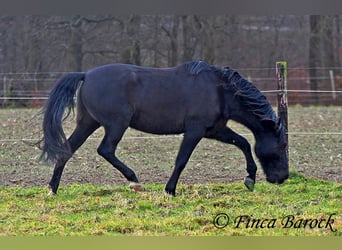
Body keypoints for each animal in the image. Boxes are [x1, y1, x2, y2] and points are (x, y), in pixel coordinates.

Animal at [41, 60, 290, 195]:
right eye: (281, 147)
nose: (282, 178)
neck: (220, 90)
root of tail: (86, 74)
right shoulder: (195, 131)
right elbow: (182, 160)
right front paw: (170, 190)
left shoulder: (215, 130)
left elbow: (245, 143)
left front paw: (250, 179)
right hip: (116, 125)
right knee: (105, 150)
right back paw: (134, 181)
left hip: (88, 123)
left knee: (67, 150)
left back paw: (53, 189)